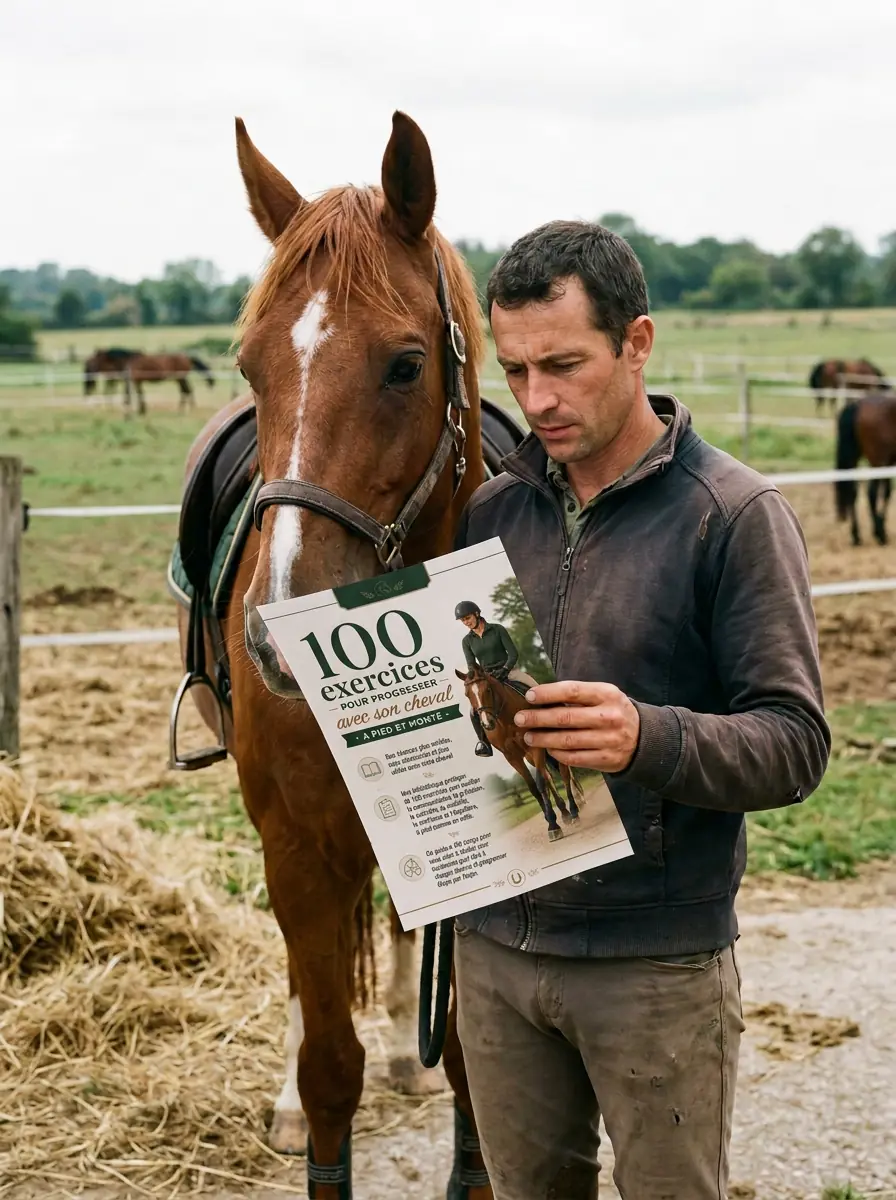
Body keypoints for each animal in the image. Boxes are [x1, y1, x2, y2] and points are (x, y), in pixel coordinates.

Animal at [176, 112, 494, 1198]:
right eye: (250, 365)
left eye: (404, 365)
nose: (278, 628)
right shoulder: (297, 847)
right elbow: (325, 1068)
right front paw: (301, 1098)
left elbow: (480, 1067)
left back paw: (405, 1049)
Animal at [455, 666, 584, 841]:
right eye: (467, 694)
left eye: (488, 689)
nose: (487, 723)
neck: (505, 717)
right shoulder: (512, 757)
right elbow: (533, 787)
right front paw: (550, 819)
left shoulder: (534, 747)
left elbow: (540, 783)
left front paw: (553, 825)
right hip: (531, 757)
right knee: (549, 776)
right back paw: (564, 813)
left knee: (564, 774)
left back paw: (574, 811)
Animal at [835, 394, 896, 545]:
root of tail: (857, 405)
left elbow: (887, 492)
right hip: (878, 461)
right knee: (871, 493)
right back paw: (879, 534)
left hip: (859, 459)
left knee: (853, 491)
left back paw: (857, 535)